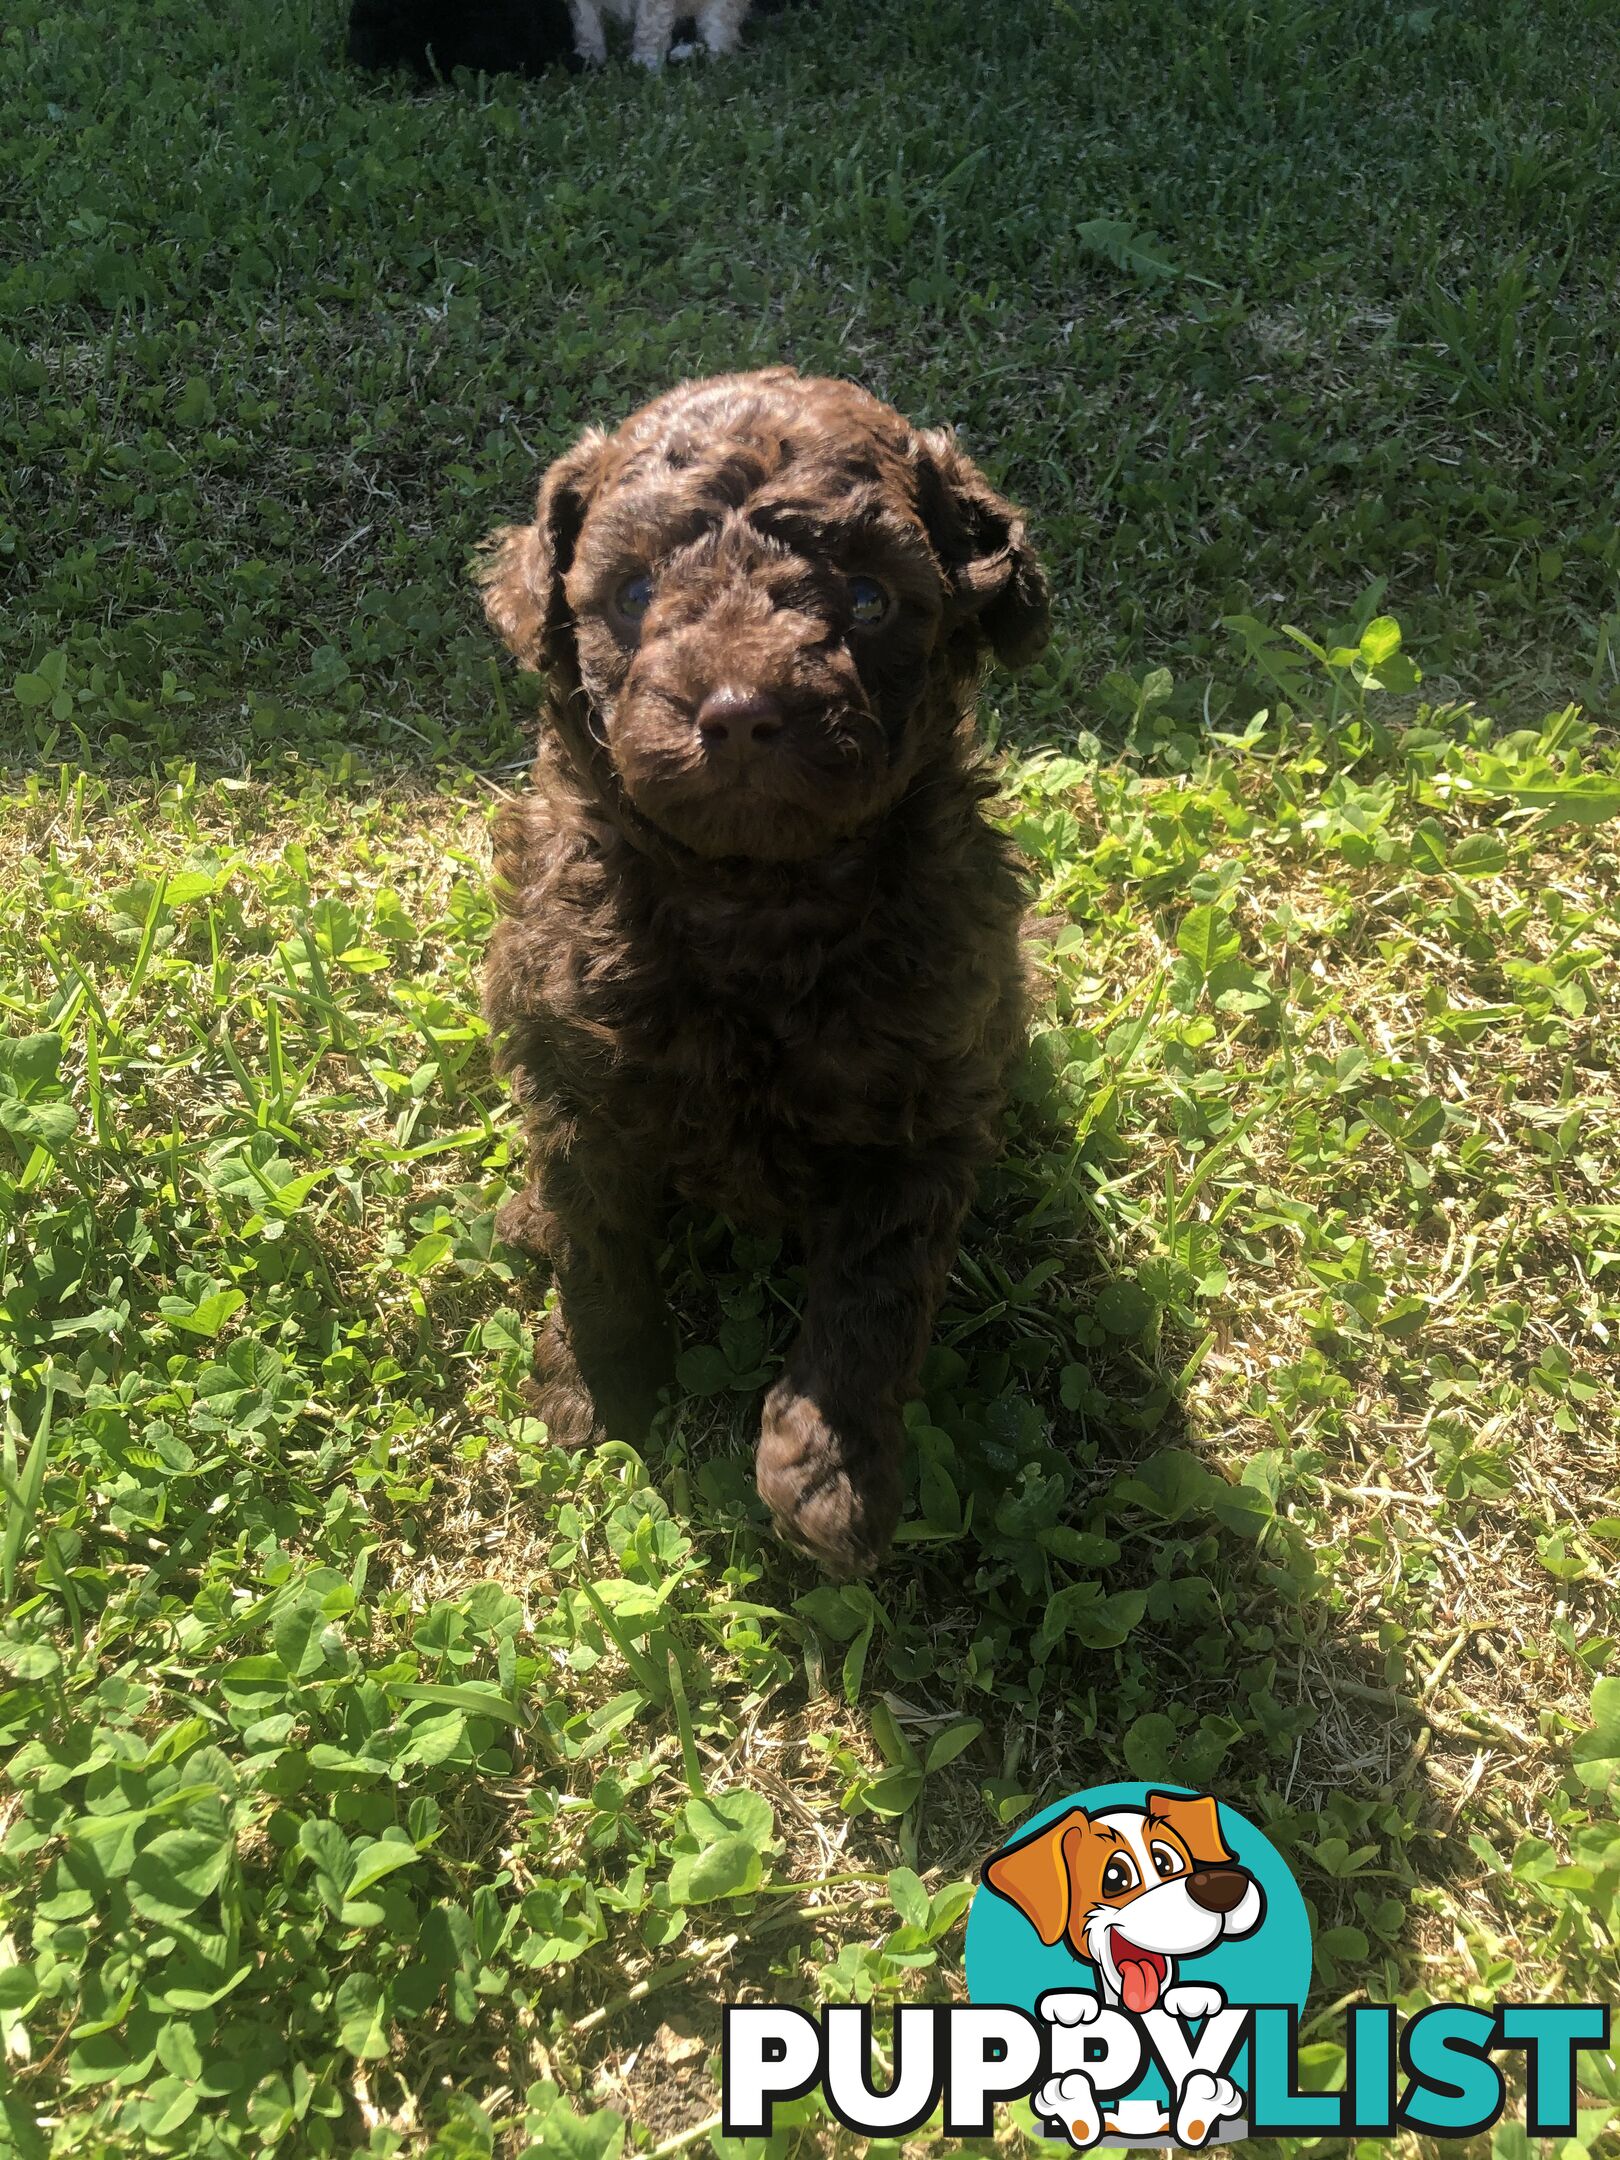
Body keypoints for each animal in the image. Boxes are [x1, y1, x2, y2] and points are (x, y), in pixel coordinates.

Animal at [479, 371, 1054, 1581]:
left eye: (870, 602)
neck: (753, 893)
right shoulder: (578, 1074)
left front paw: (829, 1473)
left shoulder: (922, 1108)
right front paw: (598, 1386)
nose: (740, 713)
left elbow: (875, 1298)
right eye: (636, 591)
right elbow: (597, 1243)